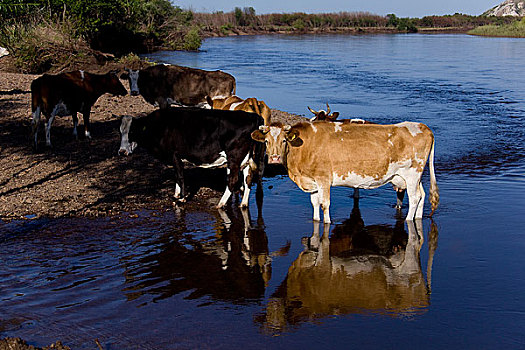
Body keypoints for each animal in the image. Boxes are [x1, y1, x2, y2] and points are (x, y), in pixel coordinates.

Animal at [120, 105, 264, 206]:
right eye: (120, 131)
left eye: (132, 131)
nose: (121, 151)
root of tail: (253, 116)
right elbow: (176, 176)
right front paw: (176, 194)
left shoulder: (174, 155)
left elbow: (180, 176)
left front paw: (182, 198)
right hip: (246, 158)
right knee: (248, 178)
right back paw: (243, 204)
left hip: (234, 157)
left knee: (232, 180)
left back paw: (221, 204)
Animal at [250, 120, 438, 223]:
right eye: (266, 141)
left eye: (284, 140)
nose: (274, 158)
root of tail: (422, 126)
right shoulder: (312, 181)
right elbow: (315, 203)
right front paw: (316, 220)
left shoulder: (323, 178)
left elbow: (325, 204)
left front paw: (326, 222)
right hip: (414, 176)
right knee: (422, 195)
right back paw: (418, 218)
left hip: (412, 173)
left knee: (414, 198)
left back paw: (409, 219)